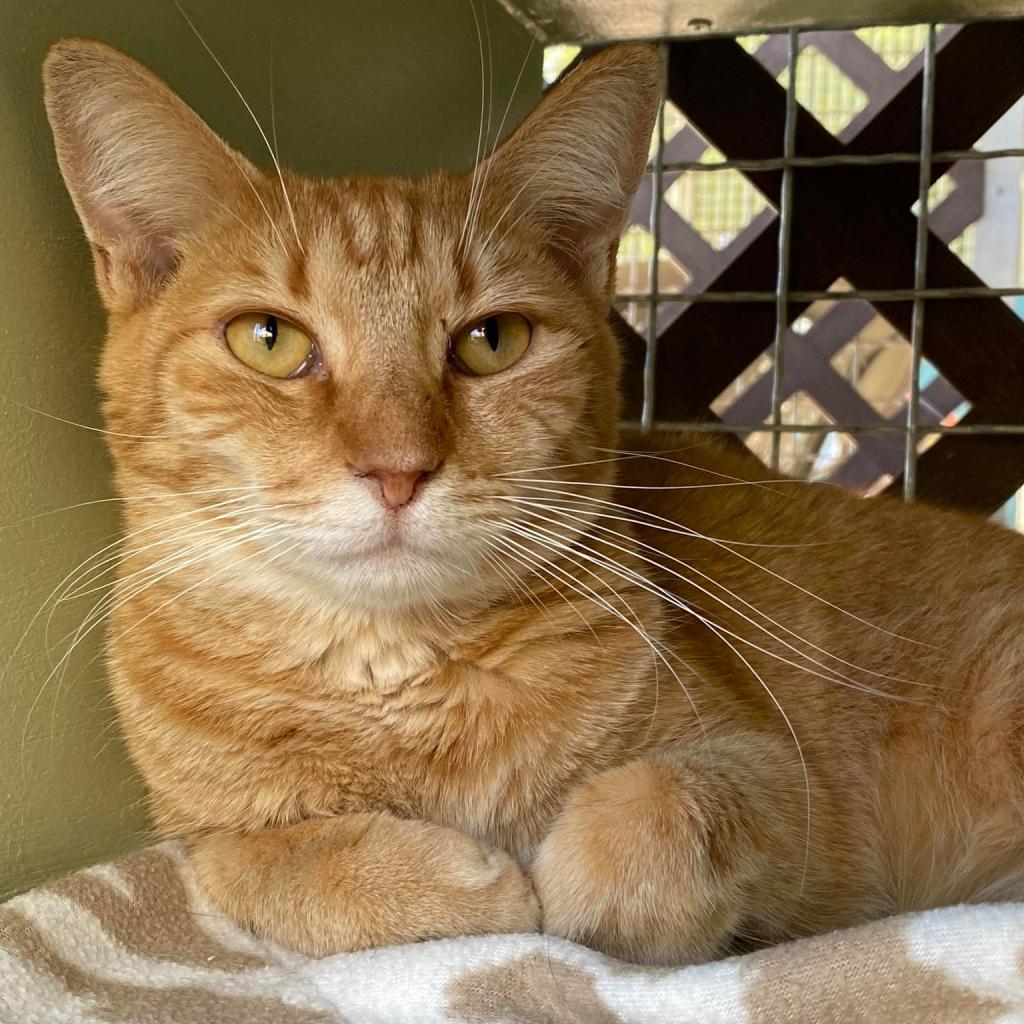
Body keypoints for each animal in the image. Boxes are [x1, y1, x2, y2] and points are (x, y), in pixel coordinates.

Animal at [44, 39, 1024, 962]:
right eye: (269, 339)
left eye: (493, 341)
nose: (398, 471)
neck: (397, 680)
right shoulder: (203, 837)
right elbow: (273, 864)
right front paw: (451, 884)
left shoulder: (781, 778)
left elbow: (666, 802)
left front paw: (574, 885)